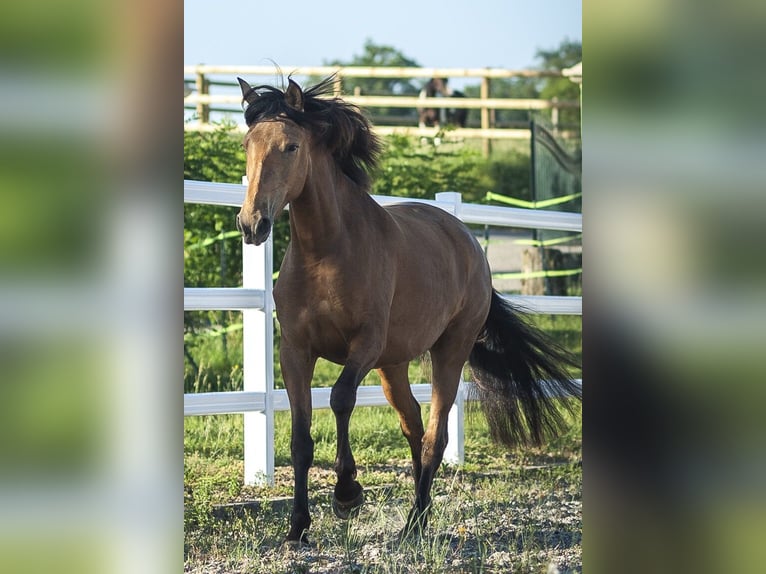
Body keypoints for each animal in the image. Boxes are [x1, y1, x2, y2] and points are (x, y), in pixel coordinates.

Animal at [235, 75, 581, 545]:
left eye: (291, 146)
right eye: (247, 144)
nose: (252, 224)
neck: (326, 253)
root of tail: (468, 241)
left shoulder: (364, 344)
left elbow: (340, 399)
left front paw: (347, 494)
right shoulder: (295, 351)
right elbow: (300, 438)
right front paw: (297, 527)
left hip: (448, 351)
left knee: (435, 432)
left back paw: (414, 520)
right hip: (392, 364)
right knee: (413, 424)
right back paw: (422, 512)